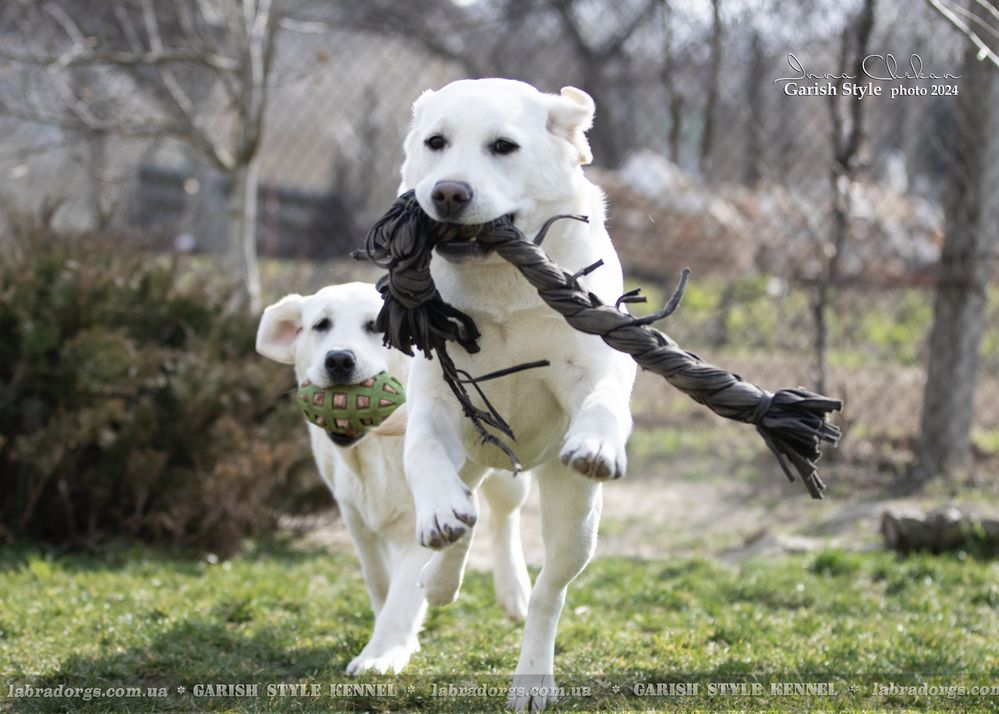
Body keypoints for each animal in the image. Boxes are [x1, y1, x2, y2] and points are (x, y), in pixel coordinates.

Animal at [260, 282, 540, 672]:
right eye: (321, 325)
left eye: (375, 327)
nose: (339, 360)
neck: (375, 446)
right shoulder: (354, 514)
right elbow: (379, 580)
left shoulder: (421, 520)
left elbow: (404, 593)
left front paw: (383, 653)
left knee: (503, 516)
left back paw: (514, 591)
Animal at [396, 78, 636, 708]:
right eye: (436, 142)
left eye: (503, 146)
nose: (448, 192)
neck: (503, 282)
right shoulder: (438, 398)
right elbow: (425, 455)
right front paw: (438, 513)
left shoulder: (596, 365)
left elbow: (604, 400)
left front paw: (598, 444)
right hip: (480, 453)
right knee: (476, 512)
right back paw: (440, 573)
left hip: (575, 521)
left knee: (551, 588)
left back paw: (531, 673)